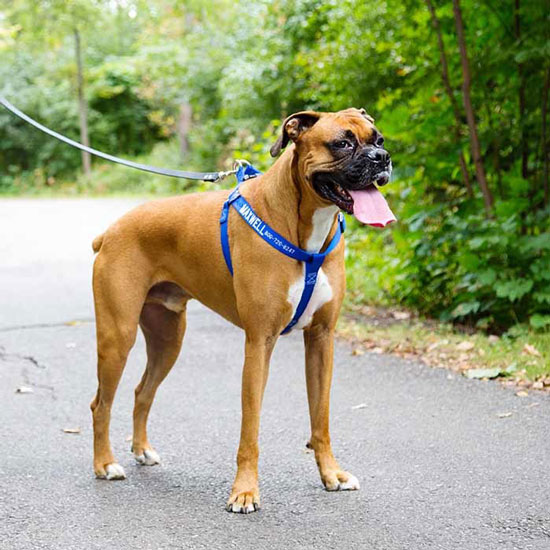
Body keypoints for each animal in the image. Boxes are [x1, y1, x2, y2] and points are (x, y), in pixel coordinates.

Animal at [90, 108, 394, 512]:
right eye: (342, 143)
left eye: (378, 139)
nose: (382, 158)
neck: (304, 227)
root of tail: (109, 231)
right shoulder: (259, 343)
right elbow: (250, 428)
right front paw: (245, 491)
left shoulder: (321, 341)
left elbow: (321, 418)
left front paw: (332, 474)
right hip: (117, 338)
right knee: (101, 404)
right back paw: (105, 464)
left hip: (168, 341)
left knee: (143, 391)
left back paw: (142, 450)